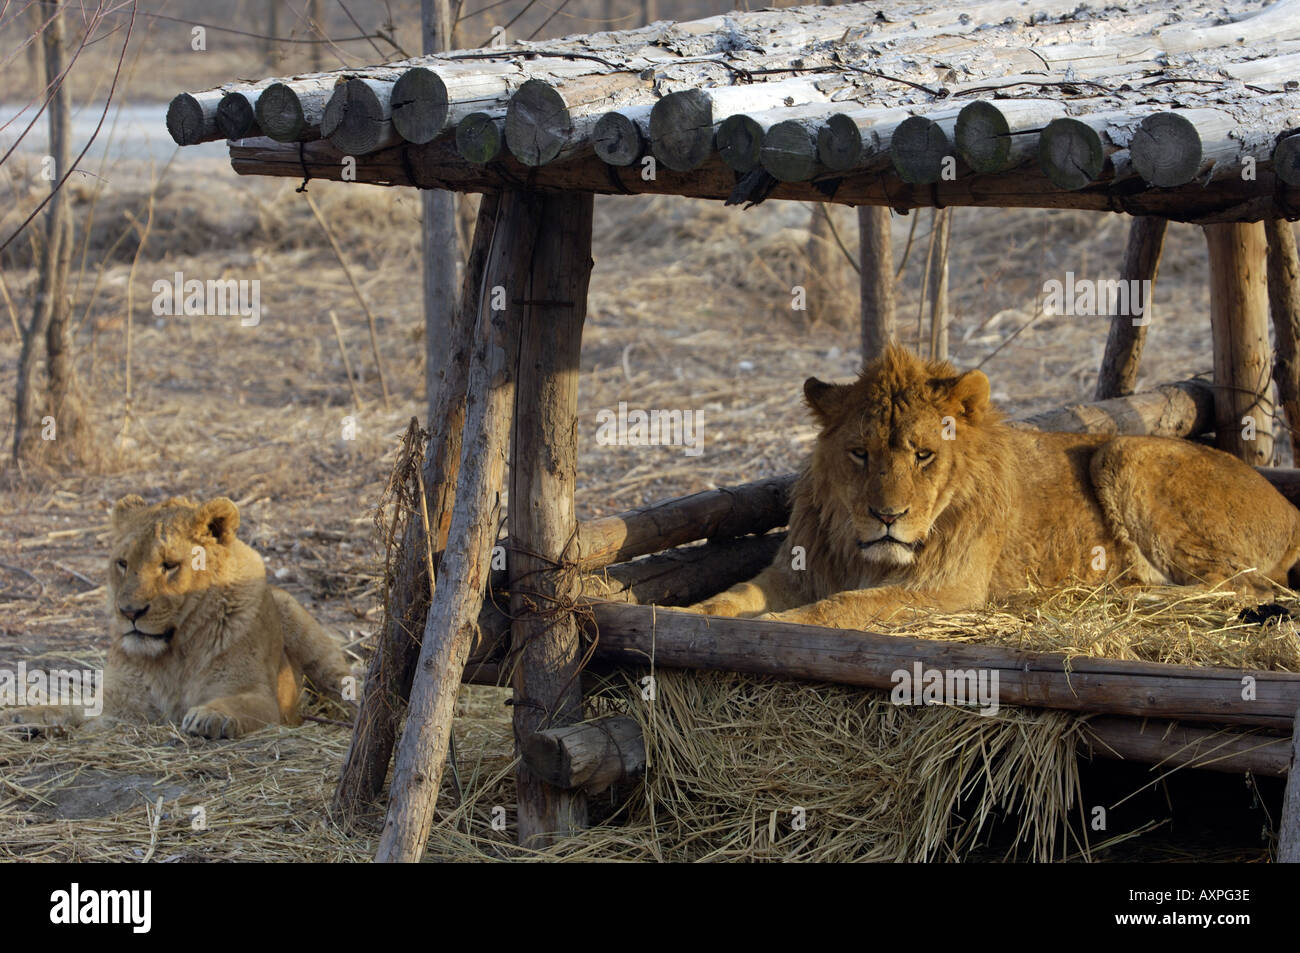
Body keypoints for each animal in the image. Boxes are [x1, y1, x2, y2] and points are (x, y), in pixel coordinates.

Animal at [3, 495, 353, 739]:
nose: (129, 612)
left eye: (169, 565)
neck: (171, 655)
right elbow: (74, 709)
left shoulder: (264, 699)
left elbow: (240, 705)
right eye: (122, 563)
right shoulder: (121, 706)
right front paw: (24, 718)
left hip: (302, 627)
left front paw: (209, 717)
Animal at [689, 345, 1300, 628]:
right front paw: (689, 616)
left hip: (1125, 450)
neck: (863, 549)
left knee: (1240, 587)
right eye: (860, 454)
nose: (887, 517)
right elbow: (734, 595)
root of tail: (1292, 511)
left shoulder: (946, 589)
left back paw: (1121, 596)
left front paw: (778, 626)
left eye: (923, 455)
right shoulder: (794, 571)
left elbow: (841, 607)